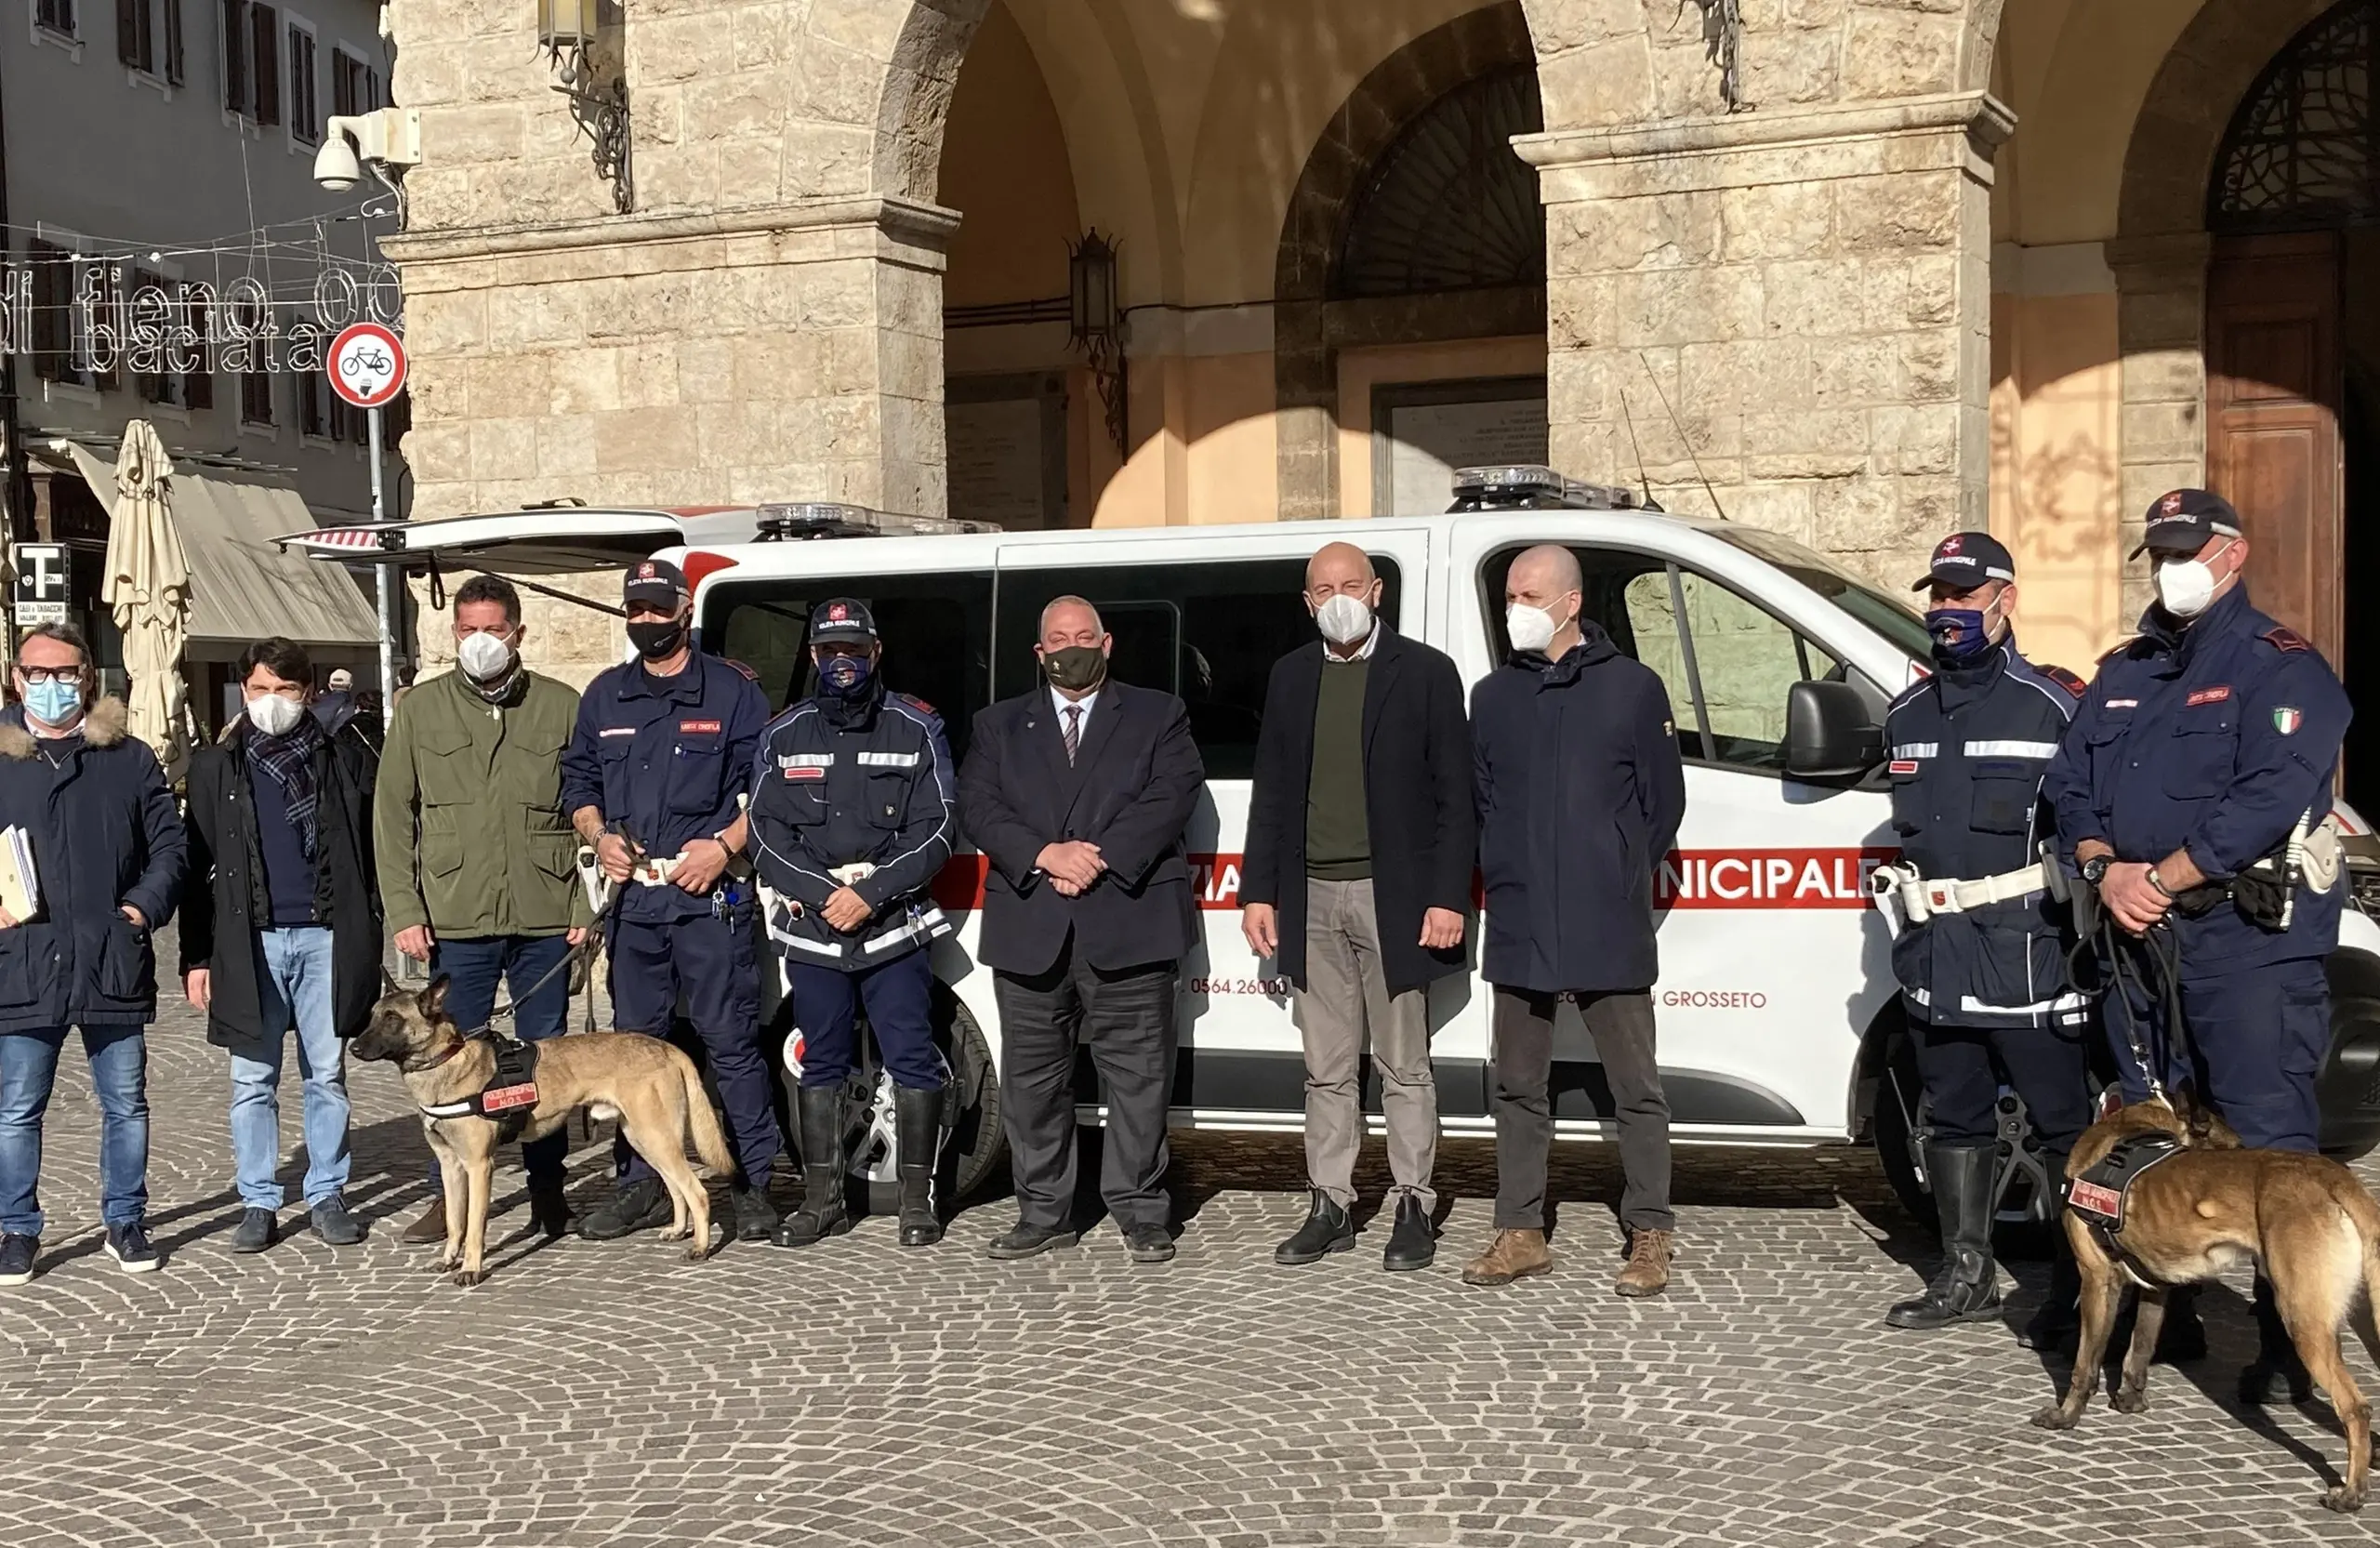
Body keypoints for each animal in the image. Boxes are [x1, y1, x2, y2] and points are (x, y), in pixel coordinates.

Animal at [357, 976, 733, 1276]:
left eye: (393, 1019)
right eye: (372, 1016)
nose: (355, 1047)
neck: (447, 1061)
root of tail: (667, 1047)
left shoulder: (479, 1166)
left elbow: (474, 1225)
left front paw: (471, 1269)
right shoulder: (451, 1167)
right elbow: (454, 1221)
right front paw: (449, 1259)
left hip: (656, 1137)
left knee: (696, 1191)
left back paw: (700, 1248)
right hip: (645, 1138)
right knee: (676, 1186)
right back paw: (679, 1230)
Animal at [2028, 1095, 2380, 1504]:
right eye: (2234, 1146)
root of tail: (2335, 1178)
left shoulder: (2096, 1281)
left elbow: (2084, 1366)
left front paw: (2065, 1416)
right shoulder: (2156, 1288)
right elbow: (2139, 1349)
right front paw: (2131, 1399)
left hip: (2304, 1322)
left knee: (2356, 1407)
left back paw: (2351, 1493)